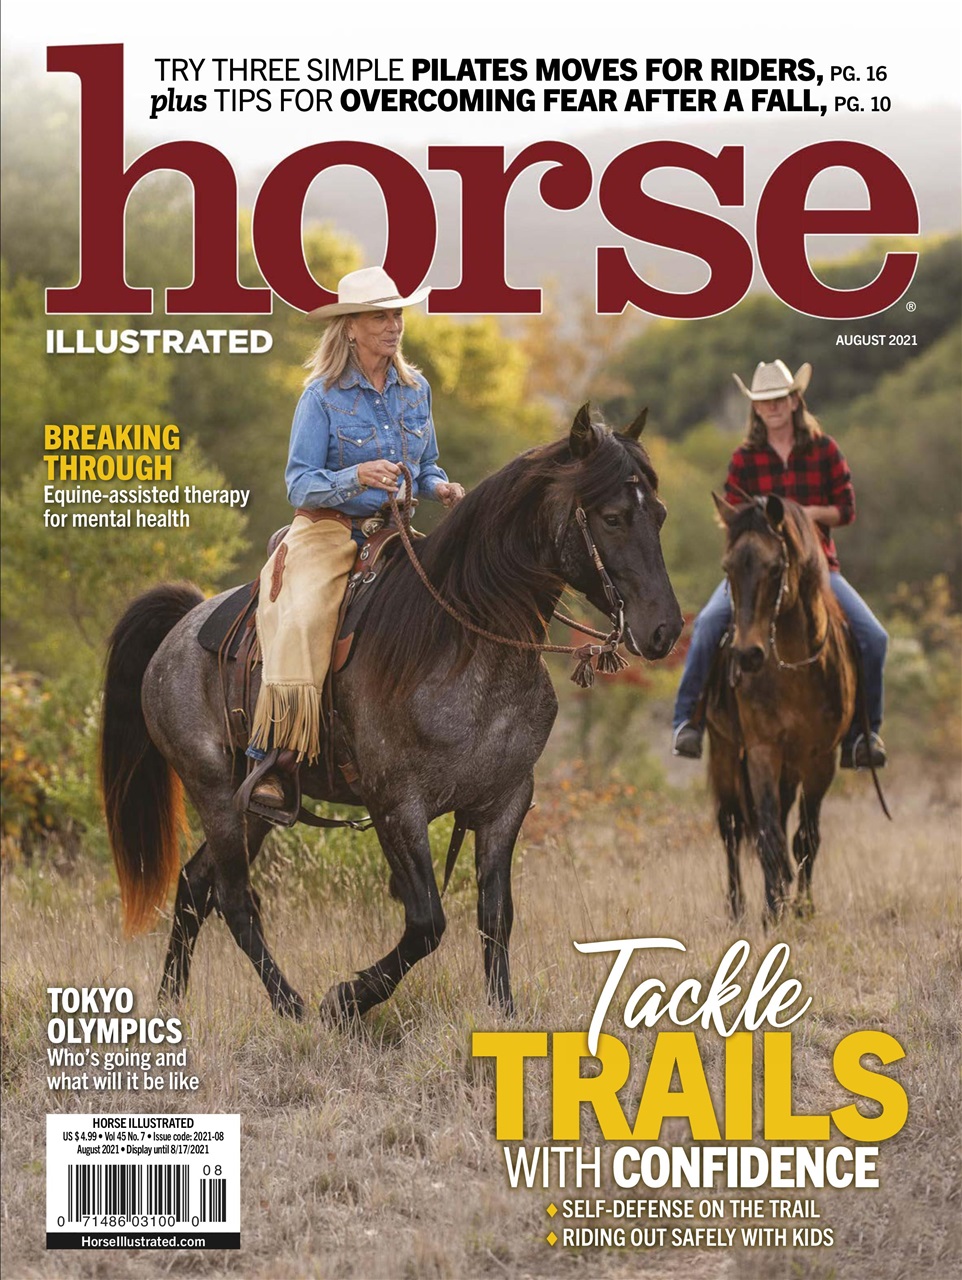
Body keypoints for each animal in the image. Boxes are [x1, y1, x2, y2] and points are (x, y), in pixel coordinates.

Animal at [100, 405, 683, 1023]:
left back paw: (171, 1002)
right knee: (234, 899)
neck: (461, 641)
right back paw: (295, 1008)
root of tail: (183, 626)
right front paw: (344, 999)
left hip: (254, 804)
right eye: (614, 517)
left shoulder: (506, 801)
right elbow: (426, 922)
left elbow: (495, 917)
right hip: (211, 789)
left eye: (659, 513)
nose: (664, 630)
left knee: (194, 887)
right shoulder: (396, 805)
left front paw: (503, 1014)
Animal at [703, 492, 858, 922]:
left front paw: (802, 909)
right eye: (728, 567)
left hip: (791, 767)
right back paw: (737, 907)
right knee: (731, 826)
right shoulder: (761, 751)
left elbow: (805, 837)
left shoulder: (821, 758)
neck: (793, 666)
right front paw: (772, 912)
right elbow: (769, 834)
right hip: (723, 749)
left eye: (775, 568)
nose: (746, 654)